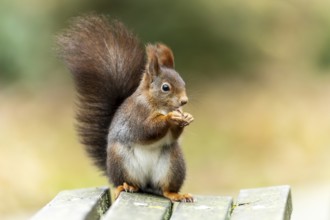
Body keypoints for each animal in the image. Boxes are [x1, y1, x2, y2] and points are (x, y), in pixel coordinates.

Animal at [56, 14, 193, 203]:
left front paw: (185, 117)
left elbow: (172, 135)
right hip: (120, 160)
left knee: (165, 189)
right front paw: (170, 118)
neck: (156, 104)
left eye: (183, 82)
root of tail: (147, 183)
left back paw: (176, 194)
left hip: (173, 163)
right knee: (126, 182)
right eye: (165, 87)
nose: (184, 101)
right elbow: (145, 130)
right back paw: (126, 186)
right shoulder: (136, 115)